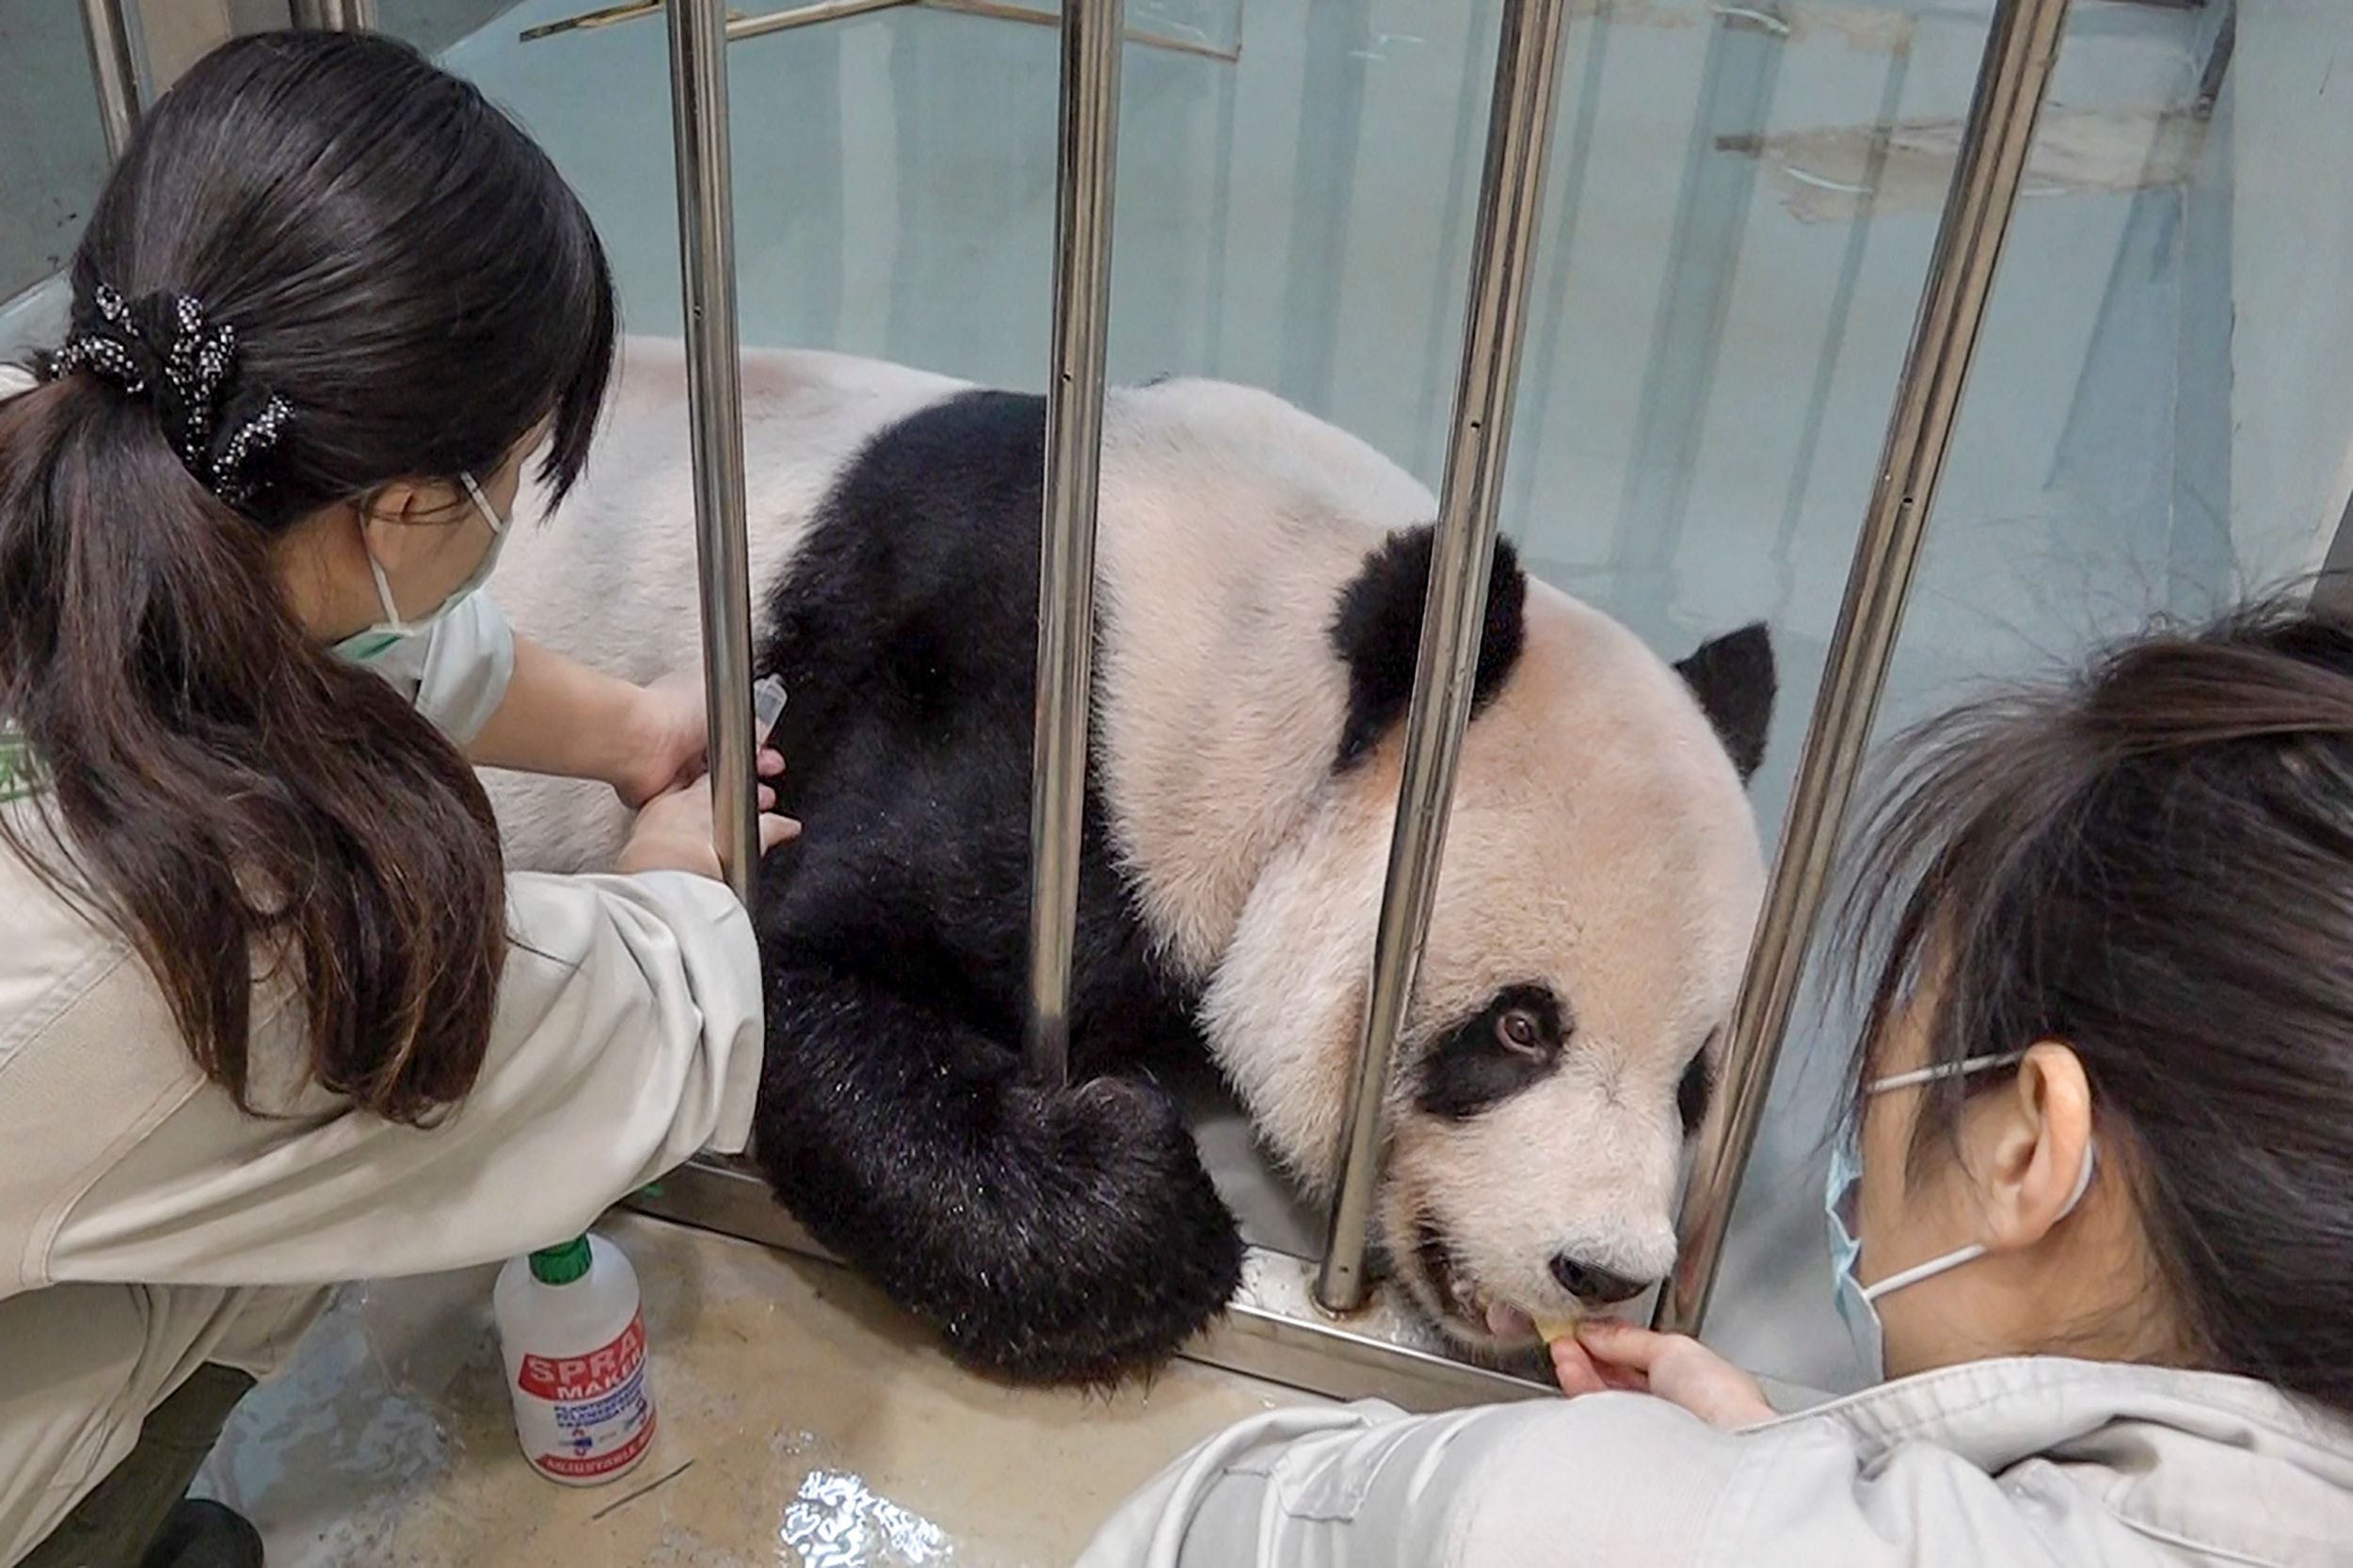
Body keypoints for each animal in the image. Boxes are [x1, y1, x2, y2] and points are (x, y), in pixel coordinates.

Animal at [487, 339, 1769, 1384]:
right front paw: (1145, 1178)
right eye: (1518, 1027)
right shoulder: (1025, 720)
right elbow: (781, 968)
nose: (1605, 1270)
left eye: (1694, 1082)